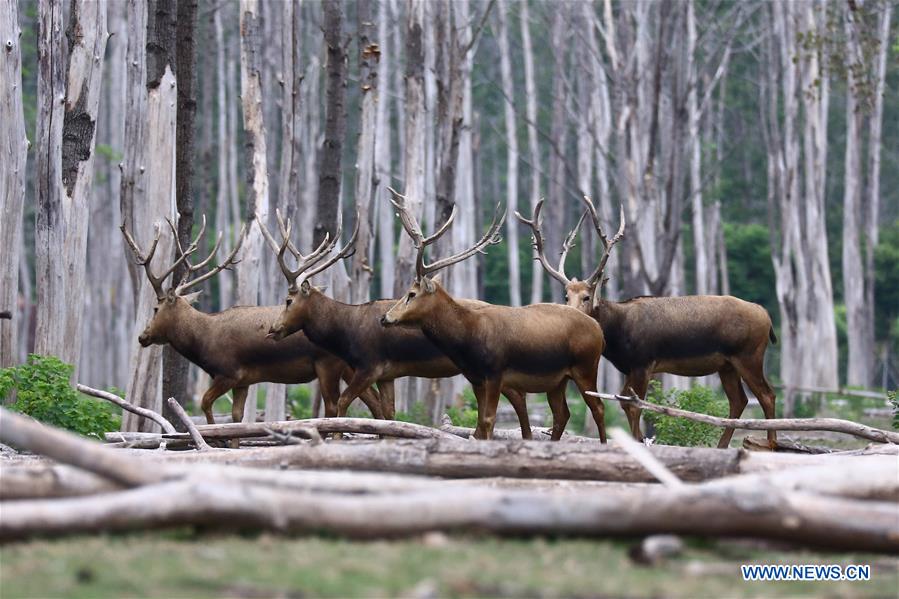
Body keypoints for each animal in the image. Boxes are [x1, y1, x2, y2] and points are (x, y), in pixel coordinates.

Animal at [120, 217, 383, 428]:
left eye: (155, 308)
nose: (142, 336)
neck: (202, 342)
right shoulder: (243, 381)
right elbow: (237, 417)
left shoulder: (228, 372)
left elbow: (205, 403)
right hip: (349, 366)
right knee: (375, 401)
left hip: (328, 364)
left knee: (333, 406)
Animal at [259, 210, 536, 437]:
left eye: (288, 300)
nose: (273, 328)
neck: (346, 333)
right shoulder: (386, 375)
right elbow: (387, 415)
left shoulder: (369, 366)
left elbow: (343, 404)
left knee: (517, 397)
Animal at [381, 190, 608, 442]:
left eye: (411, 294)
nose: (386, 318)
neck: (466, 340)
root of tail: (599, 332)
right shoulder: (476, 379)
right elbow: (479, 426)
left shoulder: (495, 373)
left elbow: (488, 421)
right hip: (558, 379)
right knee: (562, 414)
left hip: (586, 366)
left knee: (598, 408)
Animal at [516, 195, 778, 448]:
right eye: (566, 296)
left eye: (587, 296)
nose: (569, 314)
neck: (616, 336)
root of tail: (766, 316)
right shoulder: (631, 367)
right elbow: (625, 401)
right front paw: (639, 439)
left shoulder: (644, 362)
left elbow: (634, 404)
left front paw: (639, 440)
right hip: (727, 364)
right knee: (739, 400)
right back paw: (723, 446)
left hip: (749, 355)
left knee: (767, 395)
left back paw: (771, 443)